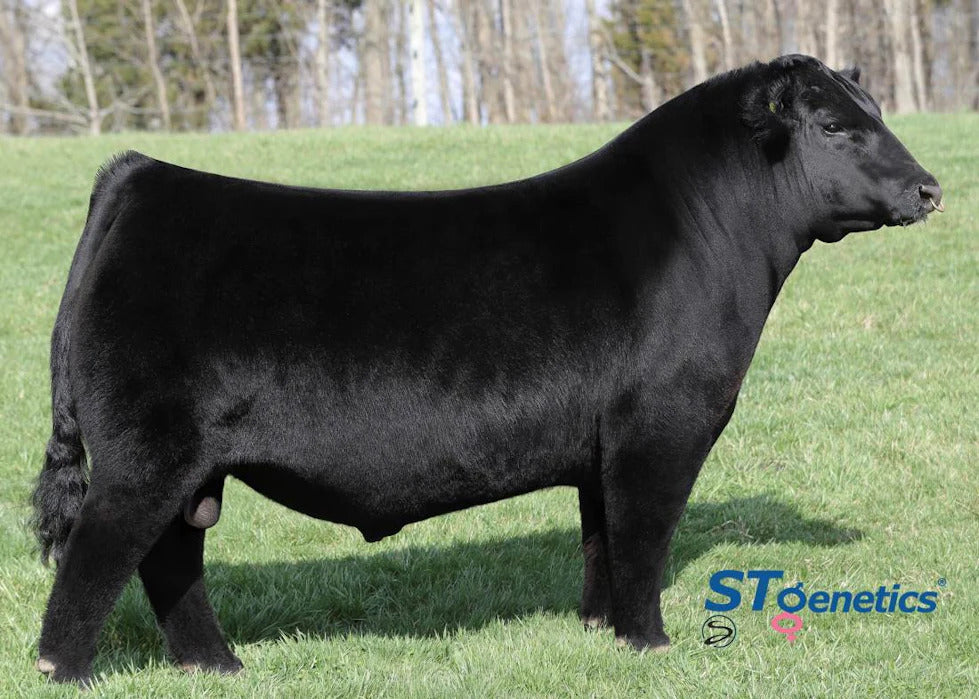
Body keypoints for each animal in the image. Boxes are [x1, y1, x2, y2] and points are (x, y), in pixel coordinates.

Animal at [32, 55, 943, 684]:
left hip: (191, 464)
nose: (929, 188)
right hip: (147, 451)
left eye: (874, 113)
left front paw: (600, 632)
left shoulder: (599, 445)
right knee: (100, 554)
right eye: (832, 127)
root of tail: (142, 174)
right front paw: (651, 643)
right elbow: (643, 536)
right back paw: (69, 672)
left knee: (172, 555)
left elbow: (600, 538)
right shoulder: (662, 427)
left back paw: (216, 664)